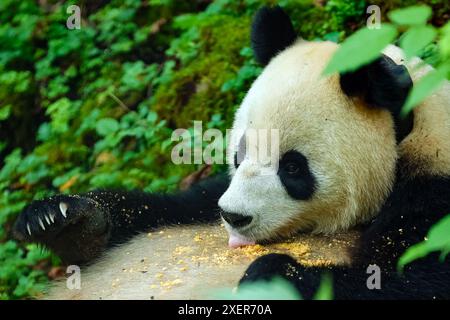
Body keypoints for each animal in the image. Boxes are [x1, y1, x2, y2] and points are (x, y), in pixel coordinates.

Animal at [12, 6, 448, 298]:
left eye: (293, 168)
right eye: (239, 155)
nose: (233, 217)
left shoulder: (433, 189)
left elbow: (412, 280)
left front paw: (274, 273)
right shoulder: (208, 197)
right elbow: (162, 208)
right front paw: (60, 218)